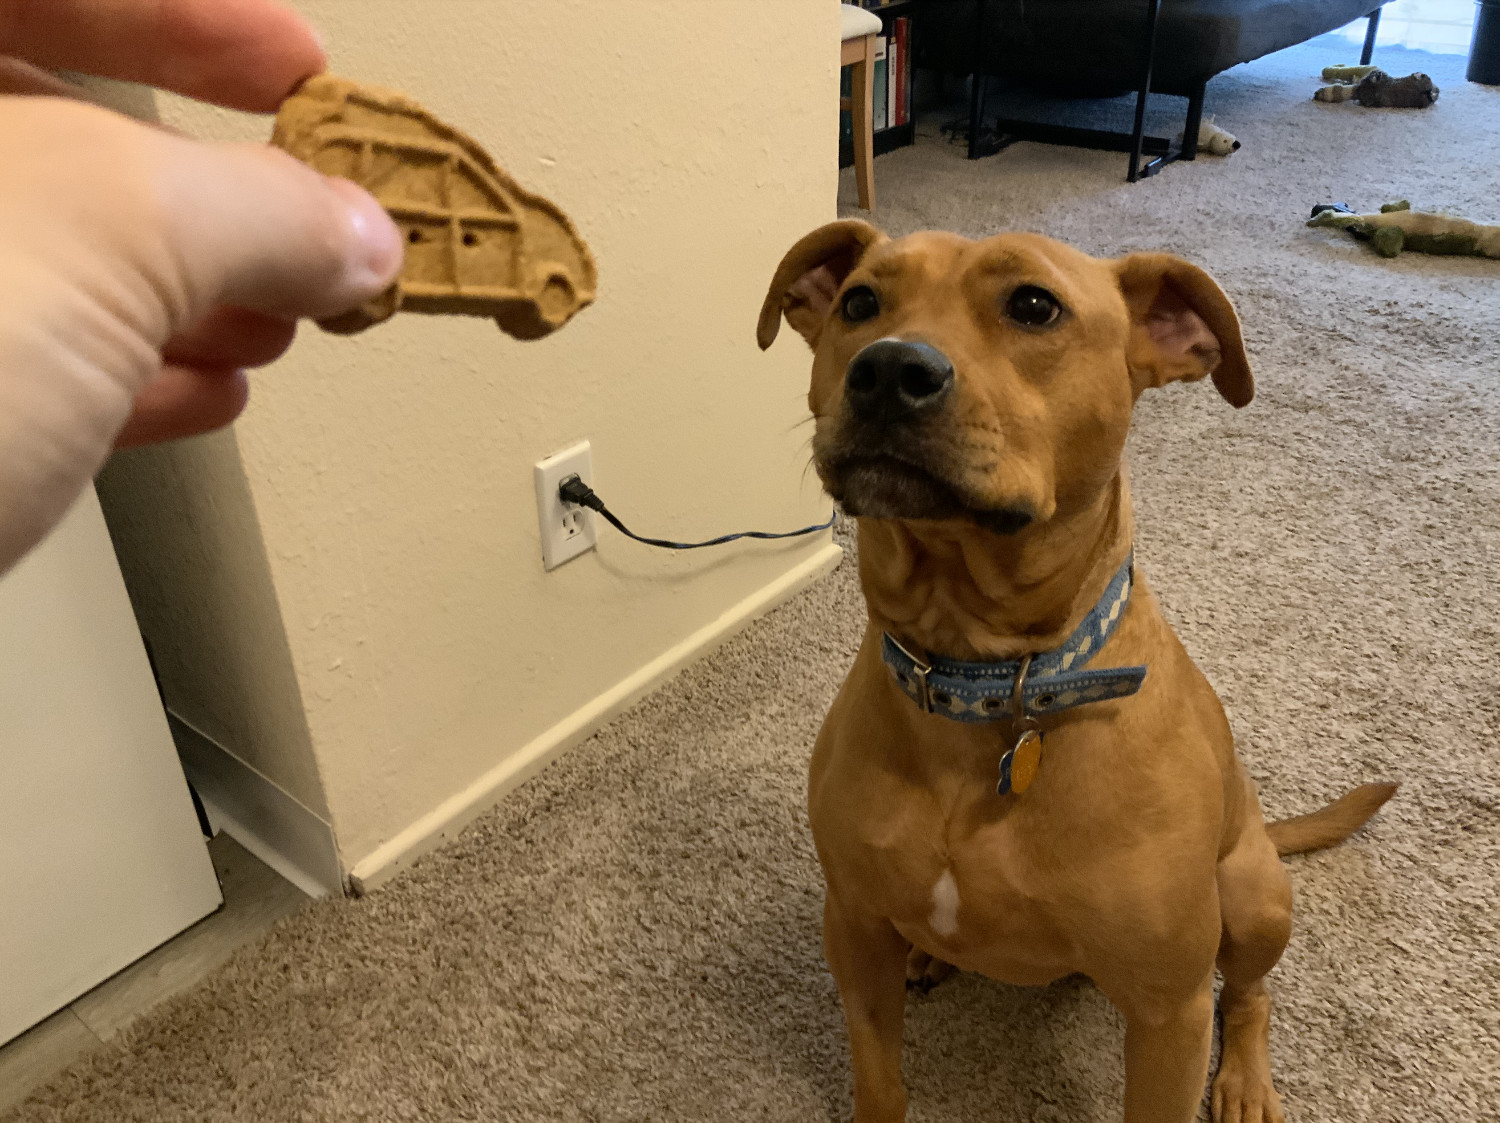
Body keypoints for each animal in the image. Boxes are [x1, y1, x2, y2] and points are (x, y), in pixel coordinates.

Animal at [756, 217, 1398, 1121]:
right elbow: (880, 1080)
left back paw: (1244, 1078)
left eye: (1034, 305)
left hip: (1255, 897)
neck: (987, 679)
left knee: (1250, 992)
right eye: (859, 302)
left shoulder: (1168, 1009)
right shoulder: (851, 927)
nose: (886, 368)